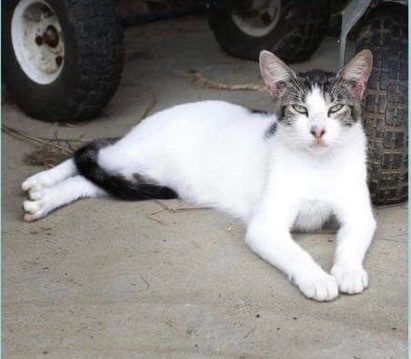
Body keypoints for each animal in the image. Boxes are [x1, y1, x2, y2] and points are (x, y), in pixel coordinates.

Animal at [22, 50, 376, 304]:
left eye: (335, 109)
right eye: (300, 110)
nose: (317, 131)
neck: (319, 164)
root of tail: (146, 122)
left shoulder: (360, 215)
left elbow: (353, 239)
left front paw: (348, 272)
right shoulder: (265, 226)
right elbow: (295, 254)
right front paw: (317, 279)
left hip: (142, 175)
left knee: (91, 179)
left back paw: (43, 198)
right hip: (132, 155)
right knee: (92, 150)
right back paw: (42, 181)